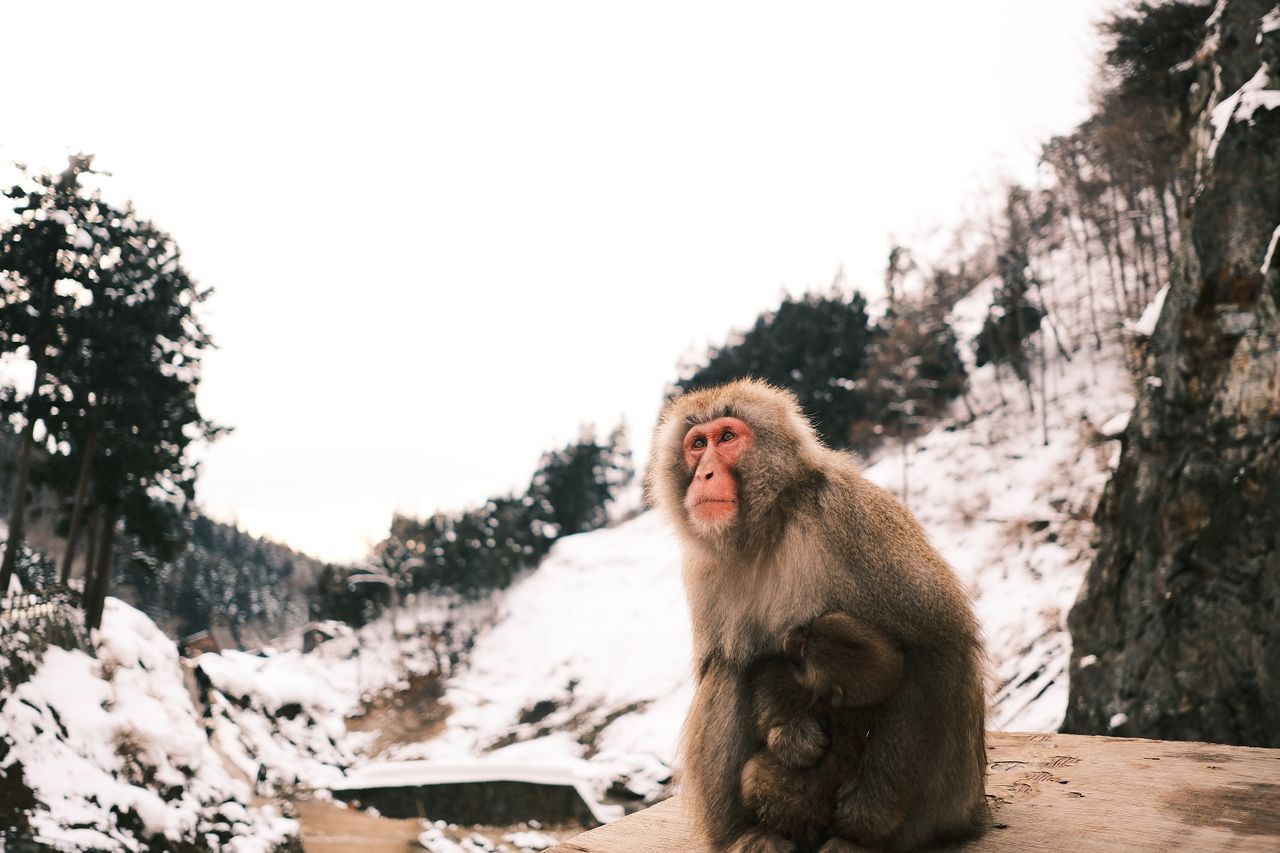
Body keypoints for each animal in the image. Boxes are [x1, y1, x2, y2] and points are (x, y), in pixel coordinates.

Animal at [740, 612, 905, 852]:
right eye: (809, 630)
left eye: (805, 651)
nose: (791, 635)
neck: (856, 704)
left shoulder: (810, 691)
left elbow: (771, 692)